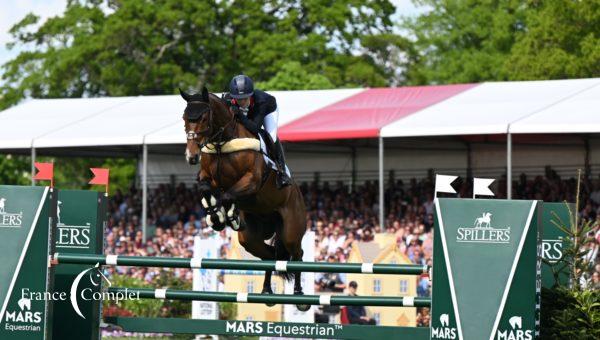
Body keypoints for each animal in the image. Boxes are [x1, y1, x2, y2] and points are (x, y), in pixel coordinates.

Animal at [179, 86, 310, 310]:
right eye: (184, 118)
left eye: (204, 118)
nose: (191, 156)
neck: (222, 143)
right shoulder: (206, 177)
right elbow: (207, 188)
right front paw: (217, 215)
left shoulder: (251, 180)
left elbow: (226, 195)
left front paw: (227, 216)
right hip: (250, 238)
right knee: (269, 256)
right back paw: (266, 292)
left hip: (291, 229)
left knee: (297, 254)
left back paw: (300, 296)